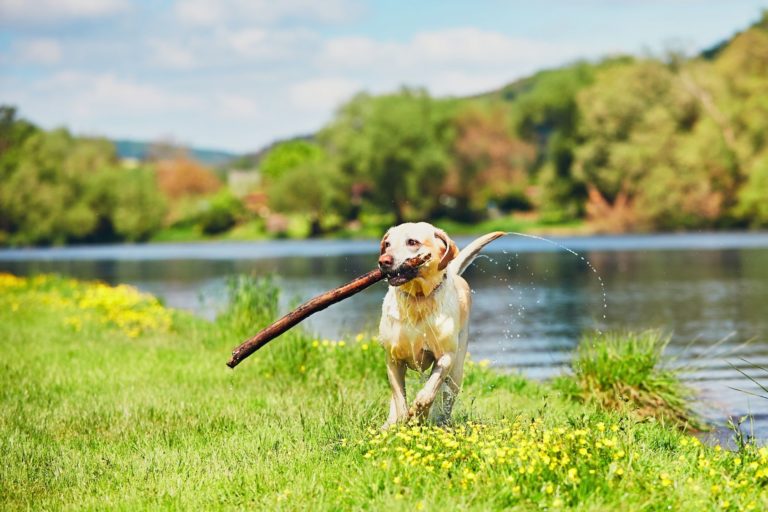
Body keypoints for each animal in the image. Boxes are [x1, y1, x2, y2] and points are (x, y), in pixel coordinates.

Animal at [376, 223, 504, 428]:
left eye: (412, 242)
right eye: (387, 244)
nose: (383, 261)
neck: (418, 299)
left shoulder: (446, 357)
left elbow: (429, 391)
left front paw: (419, 412)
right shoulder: (393, 359)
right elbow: (399, 397)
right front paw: (401, 420)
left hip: (457, 370)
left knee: (447, 396)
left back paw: (440, 421)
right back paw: (389, 424)